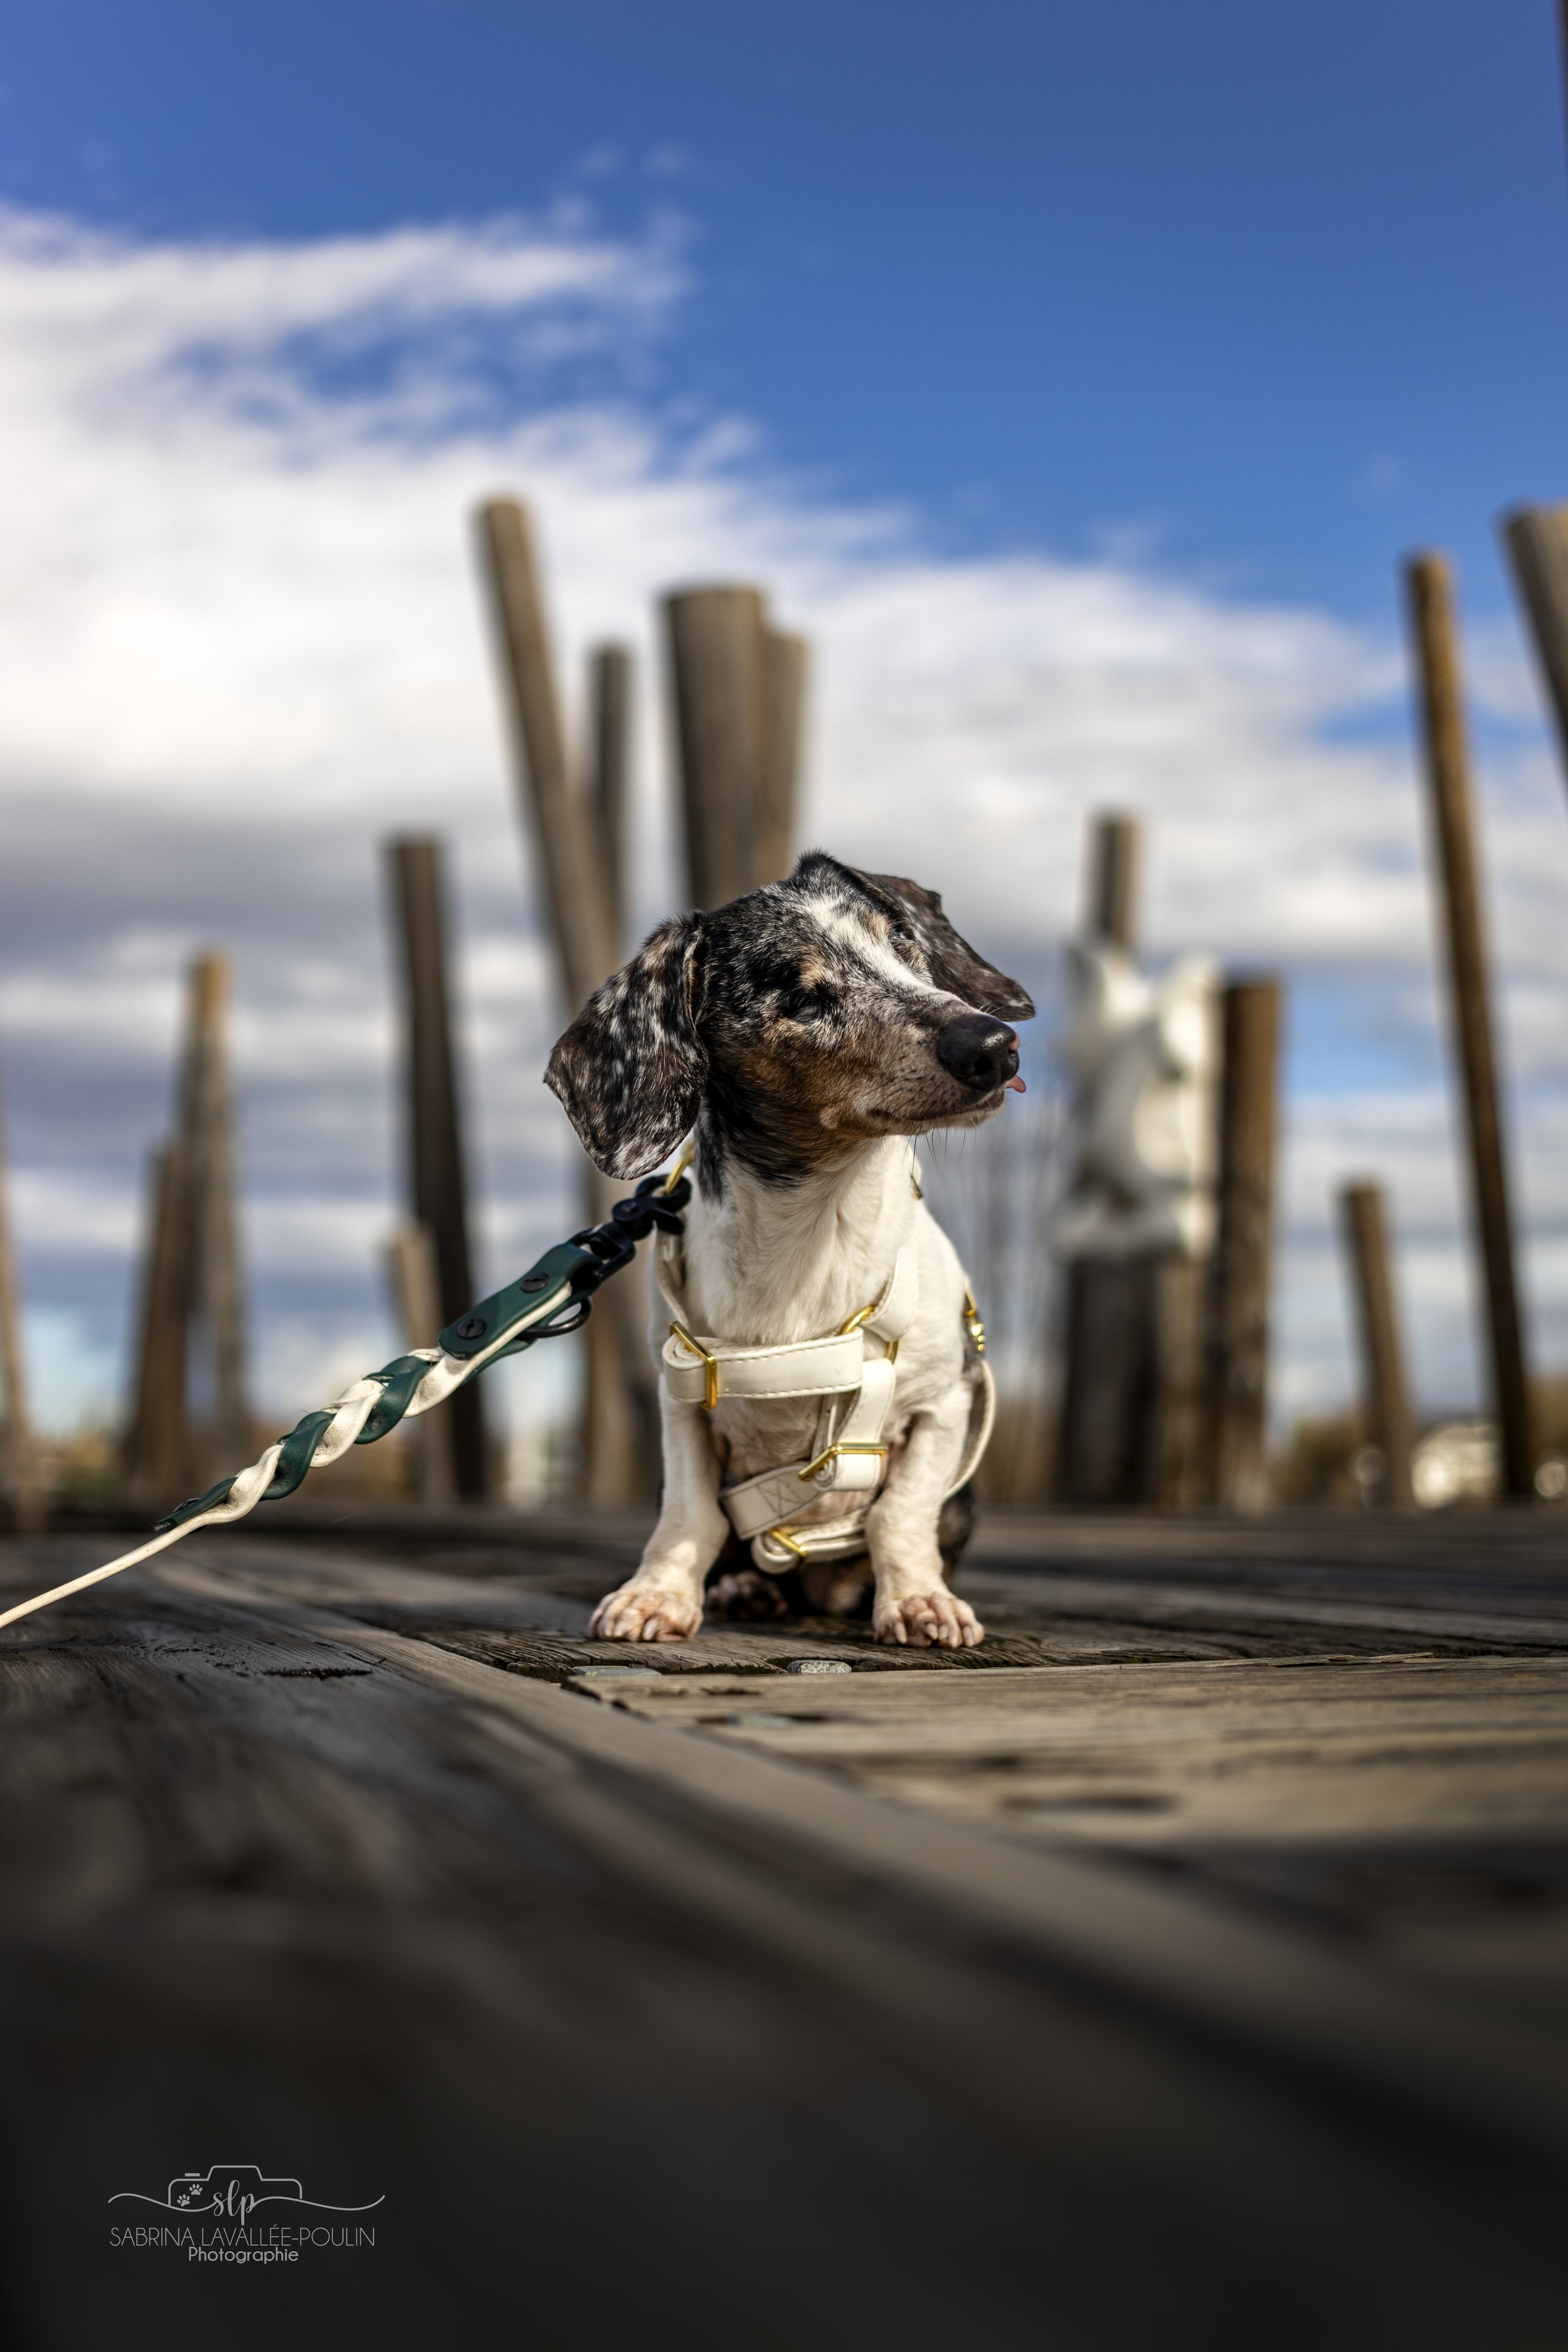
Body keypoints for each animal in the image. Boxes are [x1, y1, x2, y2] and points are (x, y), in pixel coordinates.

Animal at [545, 851, 1034, 1656]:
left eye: (902, 944)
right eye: (803, 997)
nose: (992, 1046)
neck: (812, 1233)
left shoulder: (947, 1400)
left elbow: (901, 1514)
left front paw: (919, 1601)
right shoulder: (681, 1409)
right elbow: (689, 1516)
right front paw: (658, 1595)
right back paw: (745, 1588)